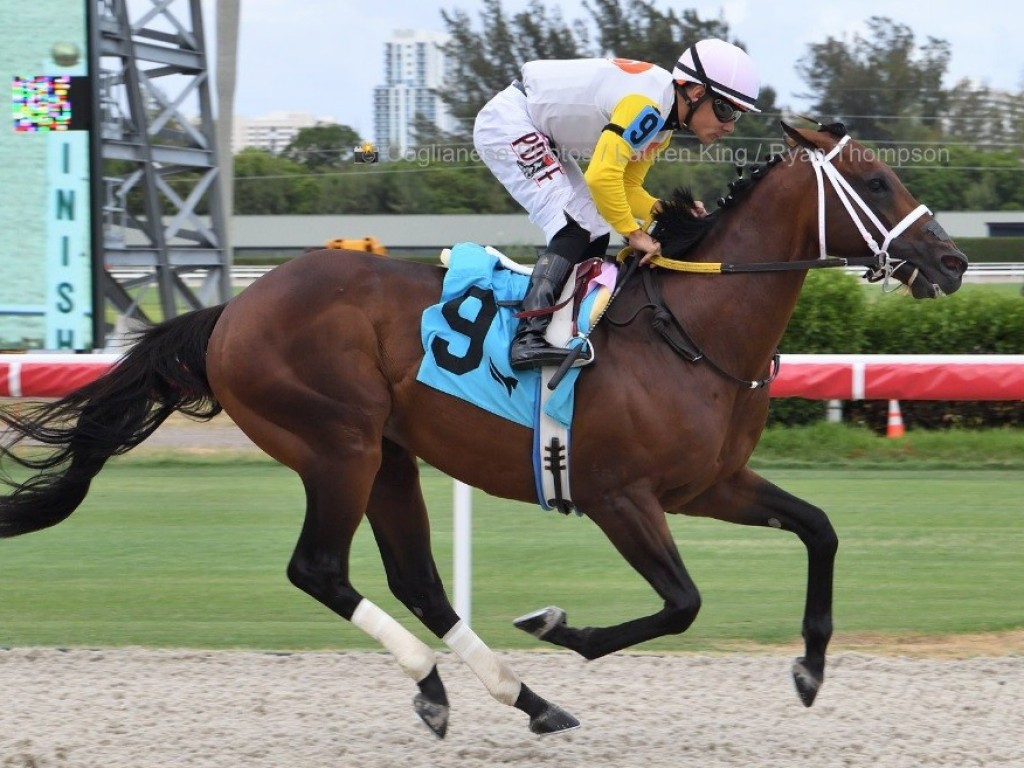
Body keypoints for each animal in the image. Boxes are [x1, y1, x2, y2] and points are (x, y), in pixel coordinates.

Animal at [0, 121, 966, 741]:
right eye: (876, 182)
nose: (952, 261)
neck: (692, 329)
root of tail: (232, 310)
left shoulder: (711, 485)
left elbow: (819, 528)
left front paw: (810, 668)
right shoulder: (620, 496)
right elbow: (683, 603)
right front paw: (561, 626)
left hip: (390, 455)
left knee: (418, 580)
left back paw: (517, 698)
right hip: (337, 444)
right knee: (319, 568)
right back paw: (445, 683)